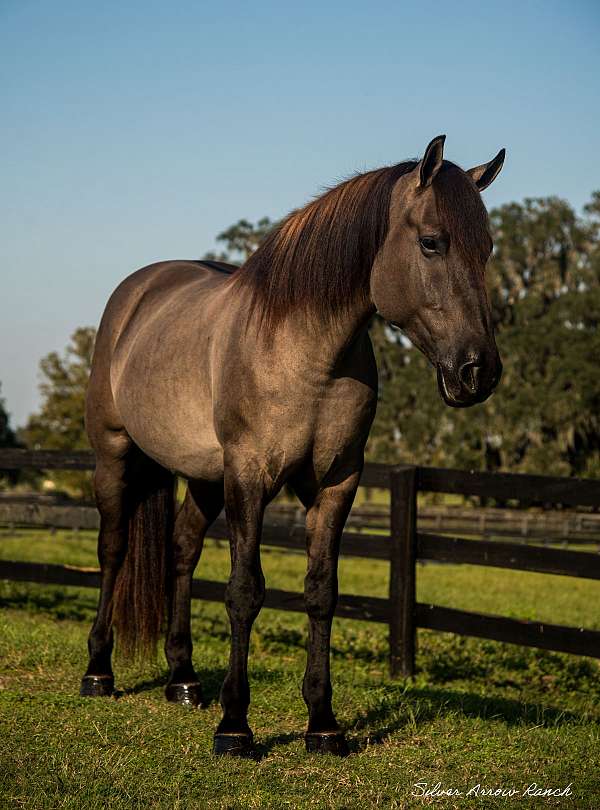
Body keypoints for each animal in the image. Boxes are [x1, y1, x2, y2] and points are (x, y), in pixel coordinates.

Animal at [77, 136, 504, 756]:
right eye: (431, 242)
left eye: (488, 249)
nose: (479, 371)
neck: (304, 350)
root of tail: (137, 293)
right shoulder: (249, 477)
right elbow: (244, 591)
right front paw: (234, 725)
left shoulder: (336, 484)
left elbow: (321, 592)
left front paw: (323, 723)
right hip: (115, 456)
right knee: (113, 549)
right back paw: (98, 671)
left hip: (205, 478)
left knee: (181, 551)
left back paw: (183, 680)